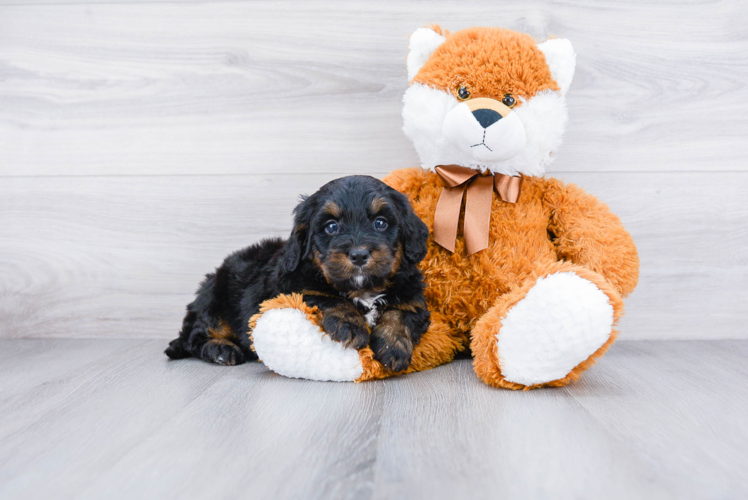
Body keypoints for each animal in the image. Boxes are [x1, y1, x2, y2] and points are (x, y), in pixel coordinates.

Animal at [166, 175, 430, 372]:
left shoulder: (414, 295)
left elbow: (402, 311)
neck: (362, 289)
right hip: (215, 299)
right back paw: (221, 349)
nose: (358, 254)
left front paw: (393, 345)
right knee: (195, 336)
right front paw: (350, 323)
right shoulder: (292, 288)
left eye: (381, 223)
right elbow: (326, 297)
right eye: (331, 227)